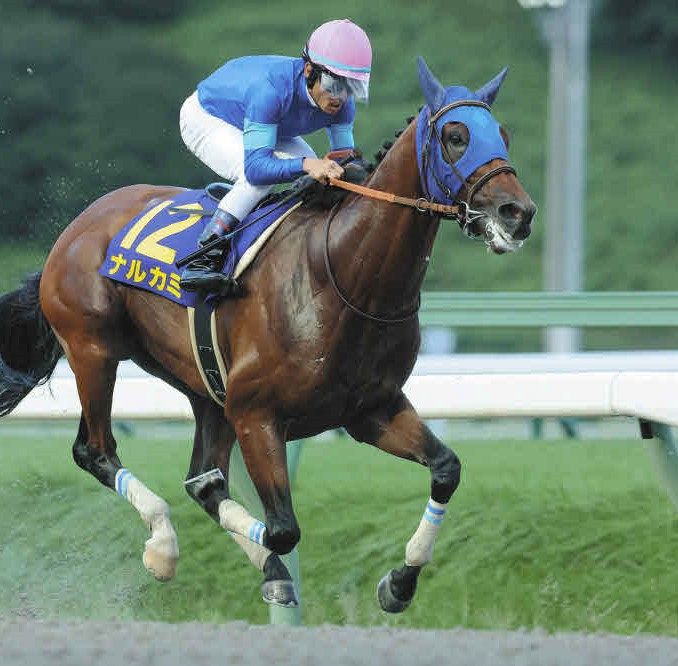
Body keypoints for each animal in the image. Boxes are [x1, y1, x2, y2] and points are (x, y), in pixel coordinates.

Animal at [0, 57, 535, 613]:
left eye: (503, 135)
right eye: (455, 136)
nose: (518, 213)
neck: (346, 277)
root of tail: (76, 228)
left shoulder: (371, 409)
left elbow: (446, 469)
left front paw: (399, 581)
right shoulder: (257, 415)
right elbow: (283, 529)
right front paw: (270, 567)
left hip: (207, 391)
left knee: (202, 480)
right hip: (93, 347)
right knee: (97, 451)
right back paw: (163, 546)